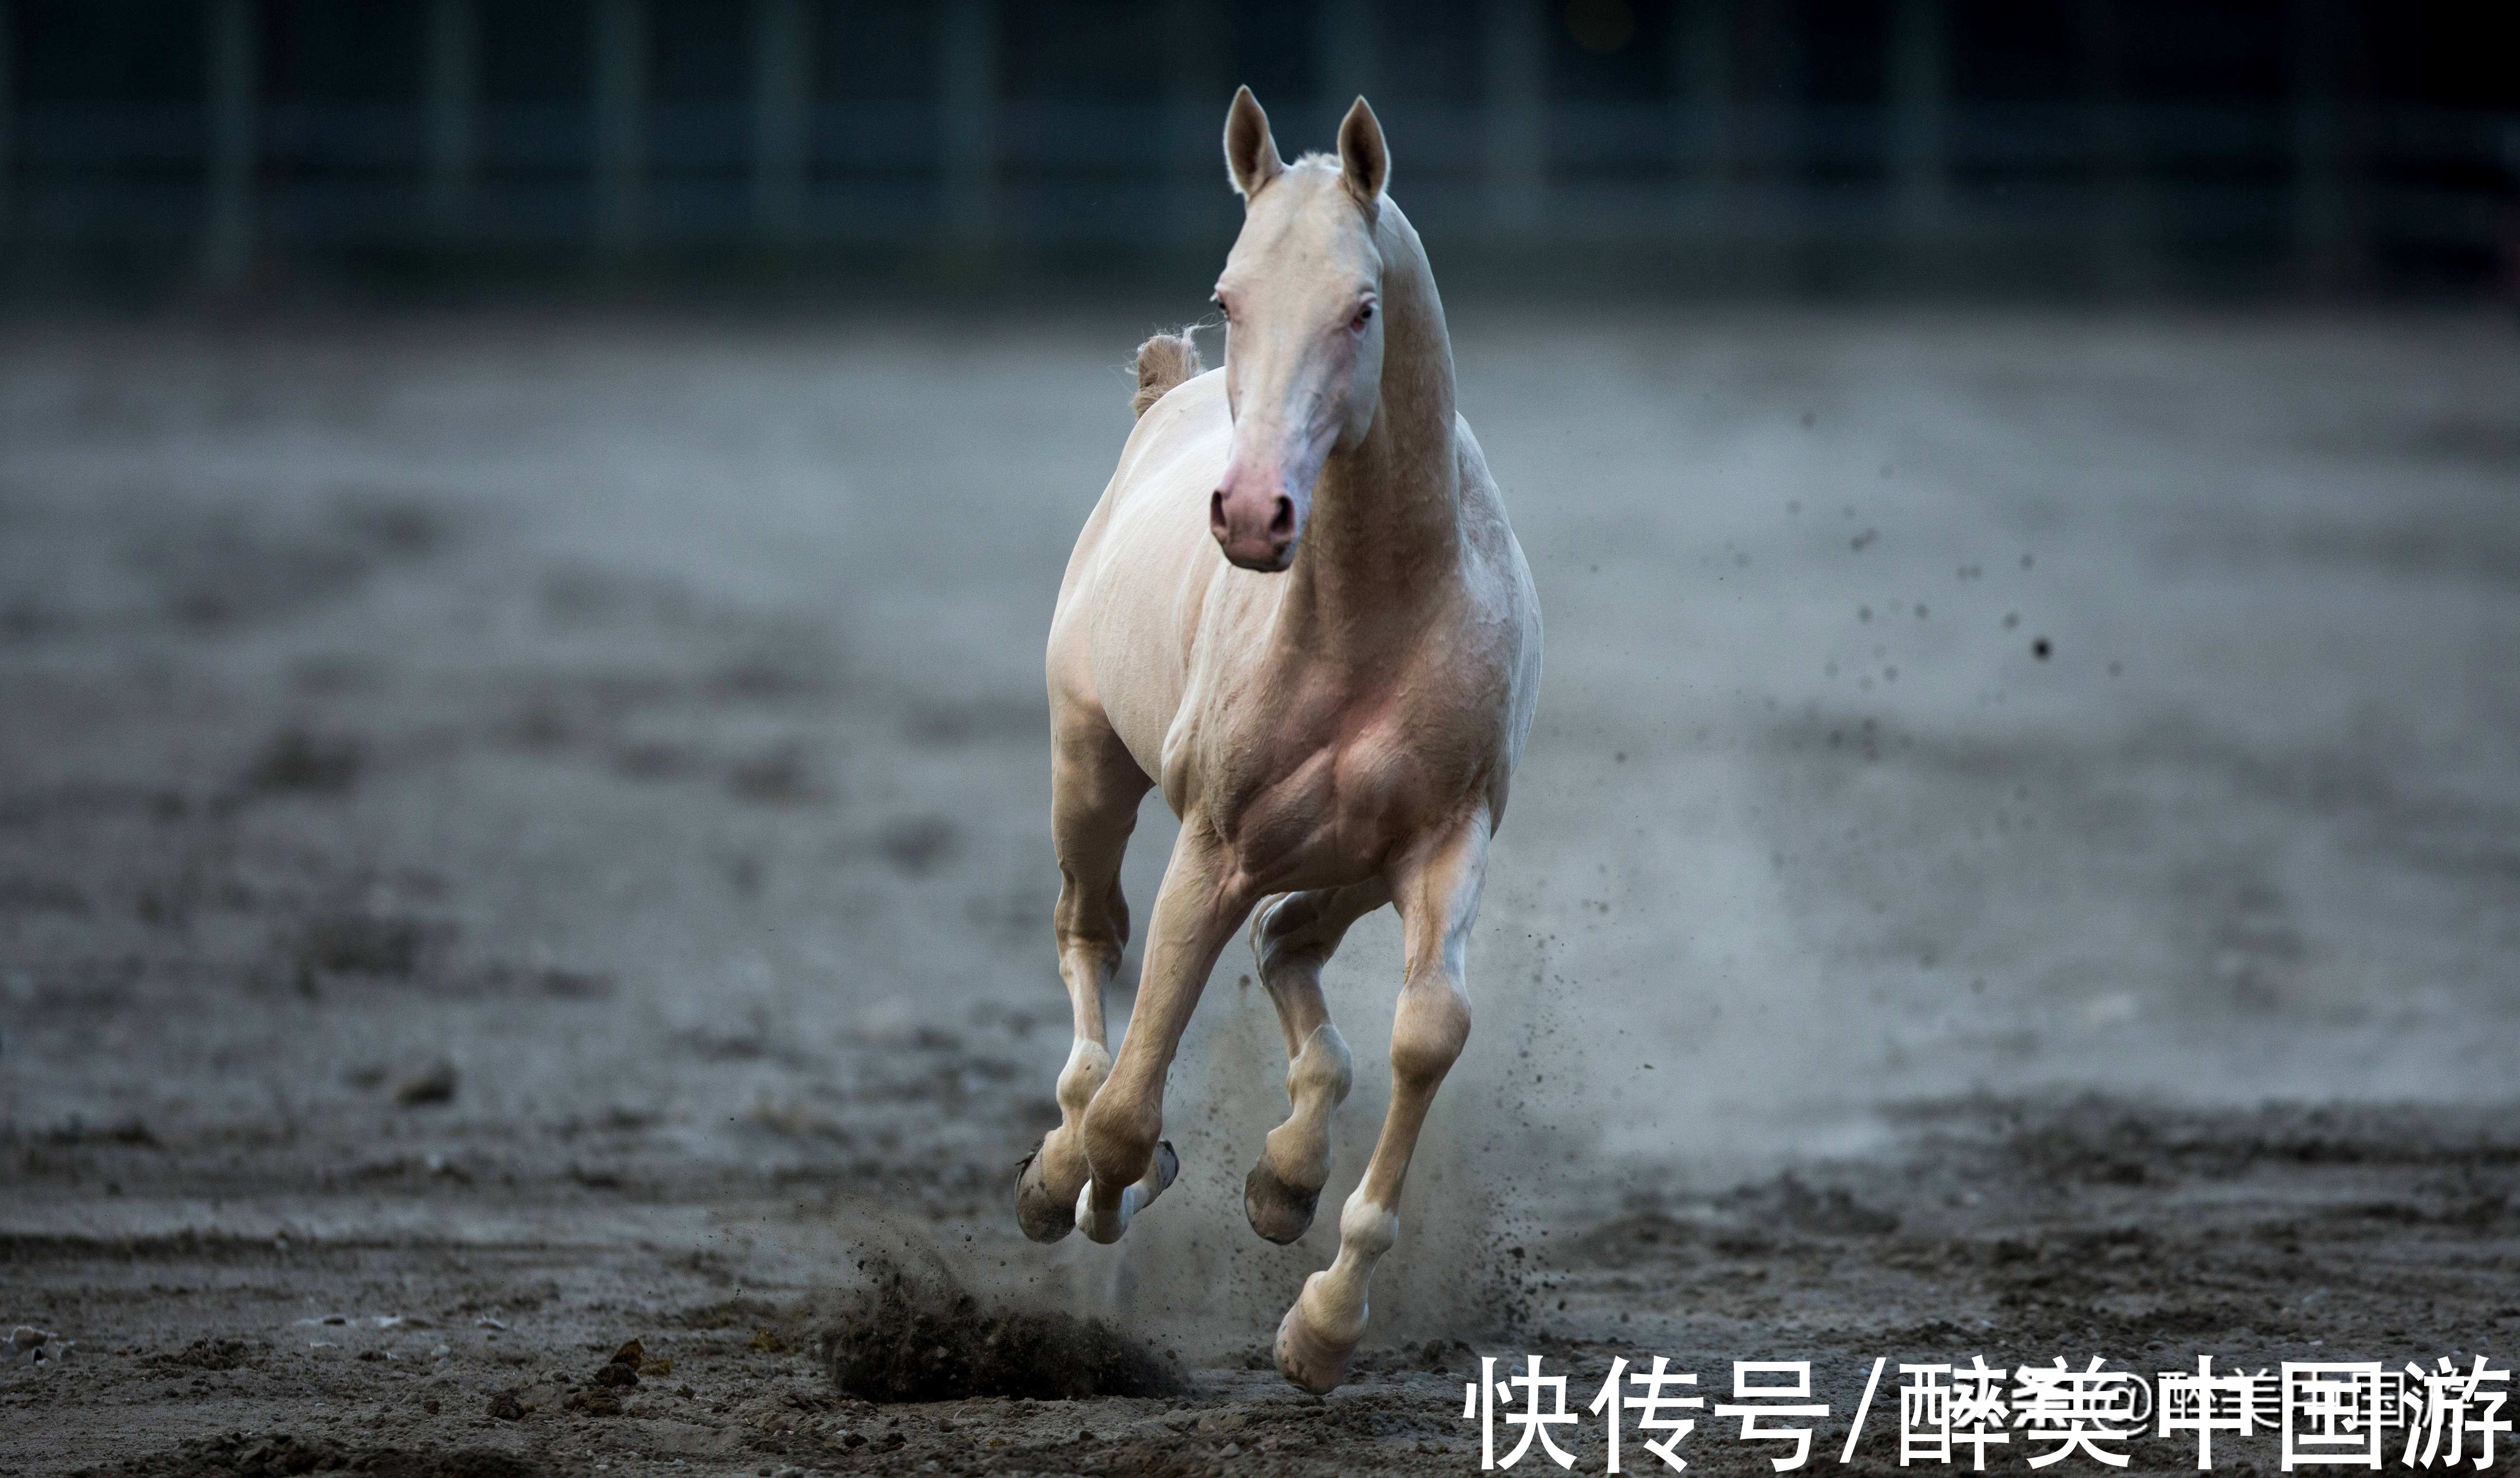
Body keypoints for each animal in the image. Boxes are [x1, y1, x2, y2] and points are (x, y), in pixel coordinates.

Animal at [1008, 86, 1532, 1382]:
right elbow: (1130, 1105)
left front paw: (1322, 1317)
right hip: (1091, 771)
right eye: (1229, 295)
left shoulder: (1445, 840)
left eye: (1361, 306)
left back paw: (1284, 1180)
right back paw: (1060, 1170)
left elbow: (1426, 1034)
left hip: (1349, 861)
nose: (1252, 515)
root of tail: (1167, 396)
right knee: (1092, 939)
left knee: (1287, 945)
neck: (1373, 610)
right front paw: (1095, 1183)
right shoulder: (1216, 847)